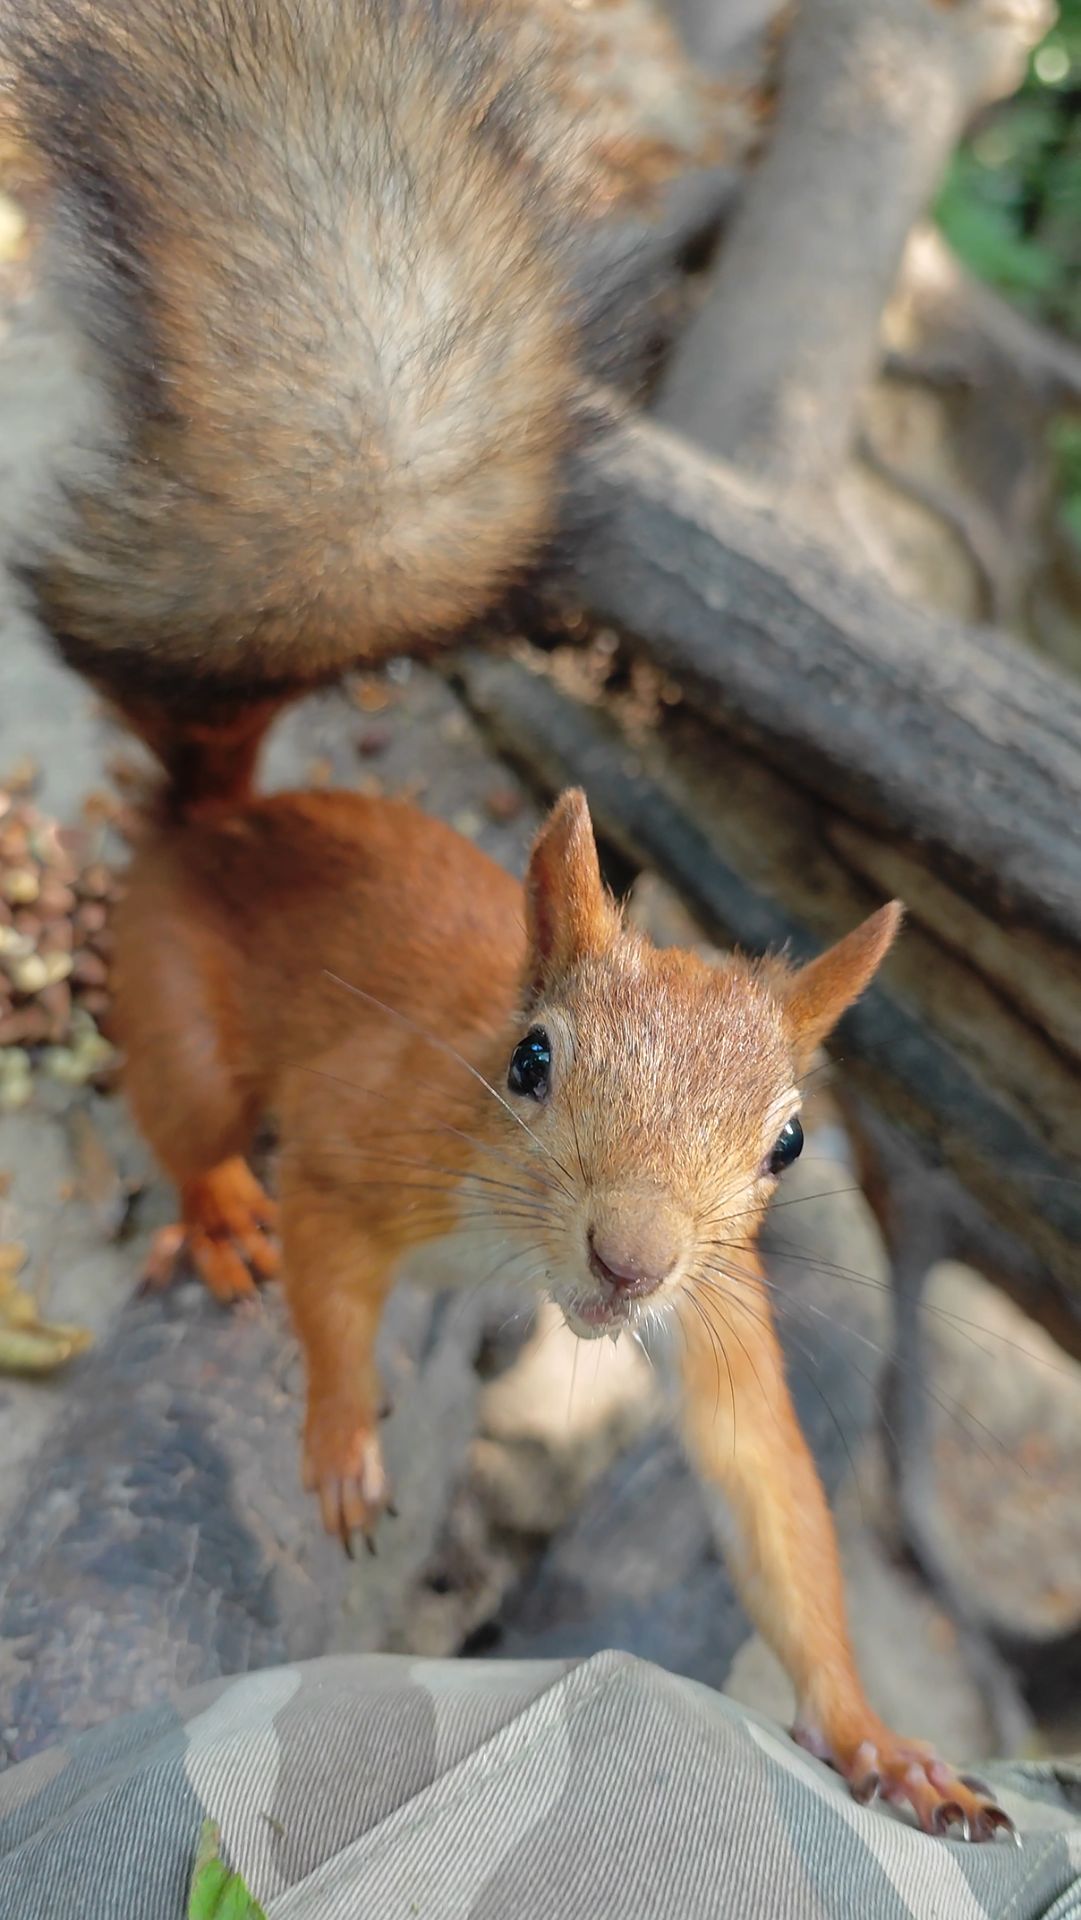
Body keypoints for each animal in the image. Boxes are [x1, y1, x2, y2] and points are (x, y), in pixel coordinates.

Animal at [110, 780, 1013, 1844]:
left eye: (788, 1143)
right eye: (530, 1060)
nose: (630, 1263)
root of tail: (219, 822)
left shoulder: (714, 1306)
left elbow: (757, 1479)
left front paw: (875, 1741)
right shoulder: (358, 1141)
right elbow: (326, 1279)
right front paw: (340, 1439)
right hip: (178, 1015)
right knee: (192, 1122)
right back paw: (217, 1214)